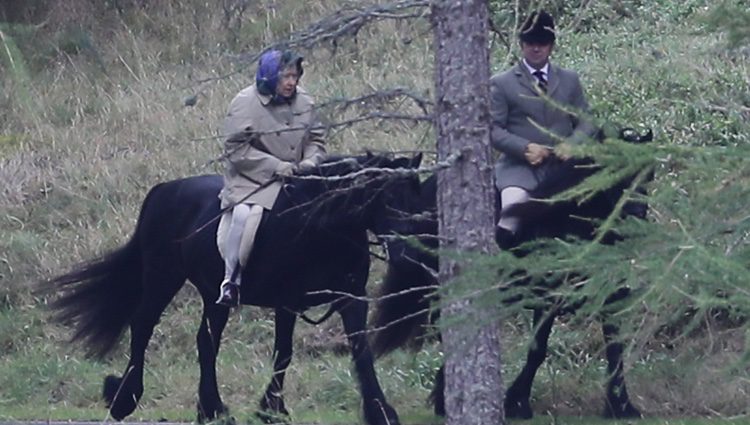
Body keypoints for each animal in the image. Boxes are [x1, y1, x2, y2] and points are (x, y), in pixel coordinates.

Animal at [42, 152, 424, 424]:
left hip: (213, 295)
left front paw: (378, 411)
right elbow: (285, 352)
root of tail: (164, 190)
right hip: (164, 276)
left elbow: (353, 350)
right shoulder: (287, 300)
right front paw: (272, 409)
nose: (409, 251)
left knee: (205, 341)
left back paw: (209, 409)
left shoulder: (348, 299)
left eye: (415, 197)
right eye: (385, 198)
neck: (319, 225)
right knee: (143, 326)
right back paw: (127, 399)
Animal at [374, 128, 656, 418]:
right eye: (613, 170)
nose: (637, 212)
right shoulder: (547, 295)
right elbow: (538, 350)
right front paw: (516, 403)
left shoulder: (611, 293)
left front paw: (621, 405)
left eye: (650, 173)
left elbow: (615, 345)